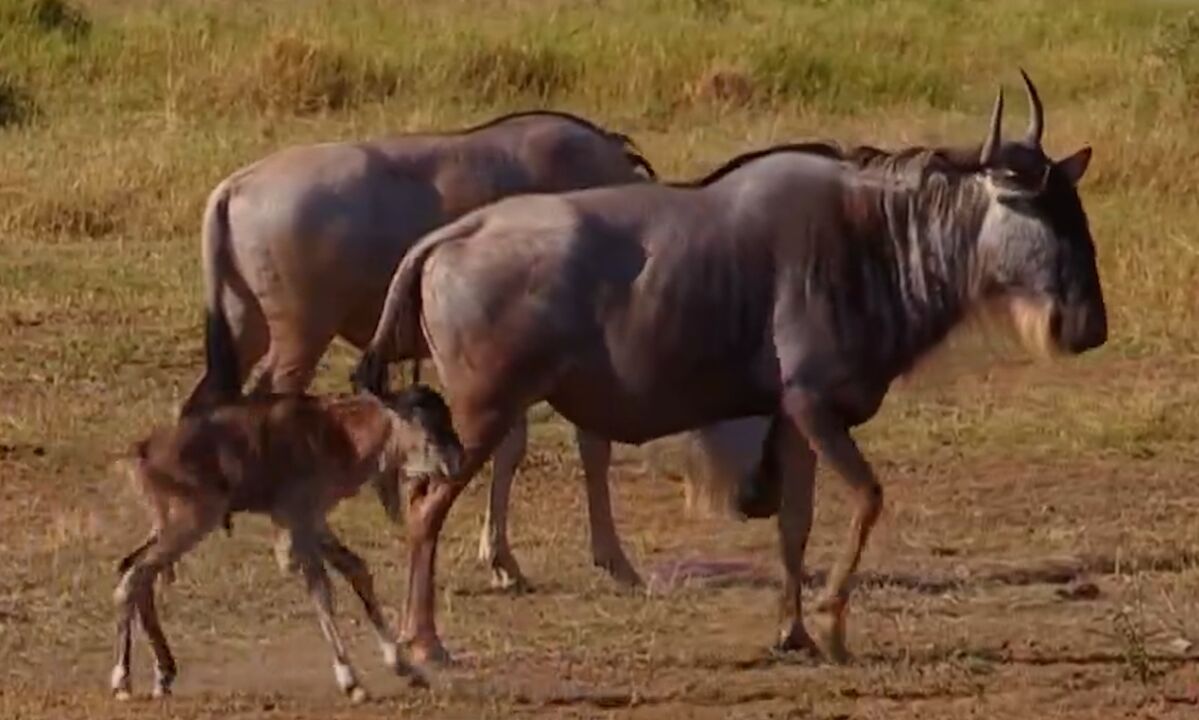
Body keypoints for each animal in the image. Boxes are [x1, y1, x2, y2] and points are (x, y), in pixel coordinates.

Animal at [110, 388, 462, 699]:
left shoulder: (314, 522)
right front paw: (351, 681)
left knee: (134, 570)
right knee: (134, 576)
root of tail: (141, 451)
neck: (339, 435)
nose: (455, 461)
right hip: (189, 525)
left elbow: (357, 570)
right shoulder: (300, 521)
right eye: (422, 423)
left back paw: (163, 675)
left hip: (166, 528)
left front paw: (406, 668)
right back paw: (122, 681)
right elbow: (321, 591)